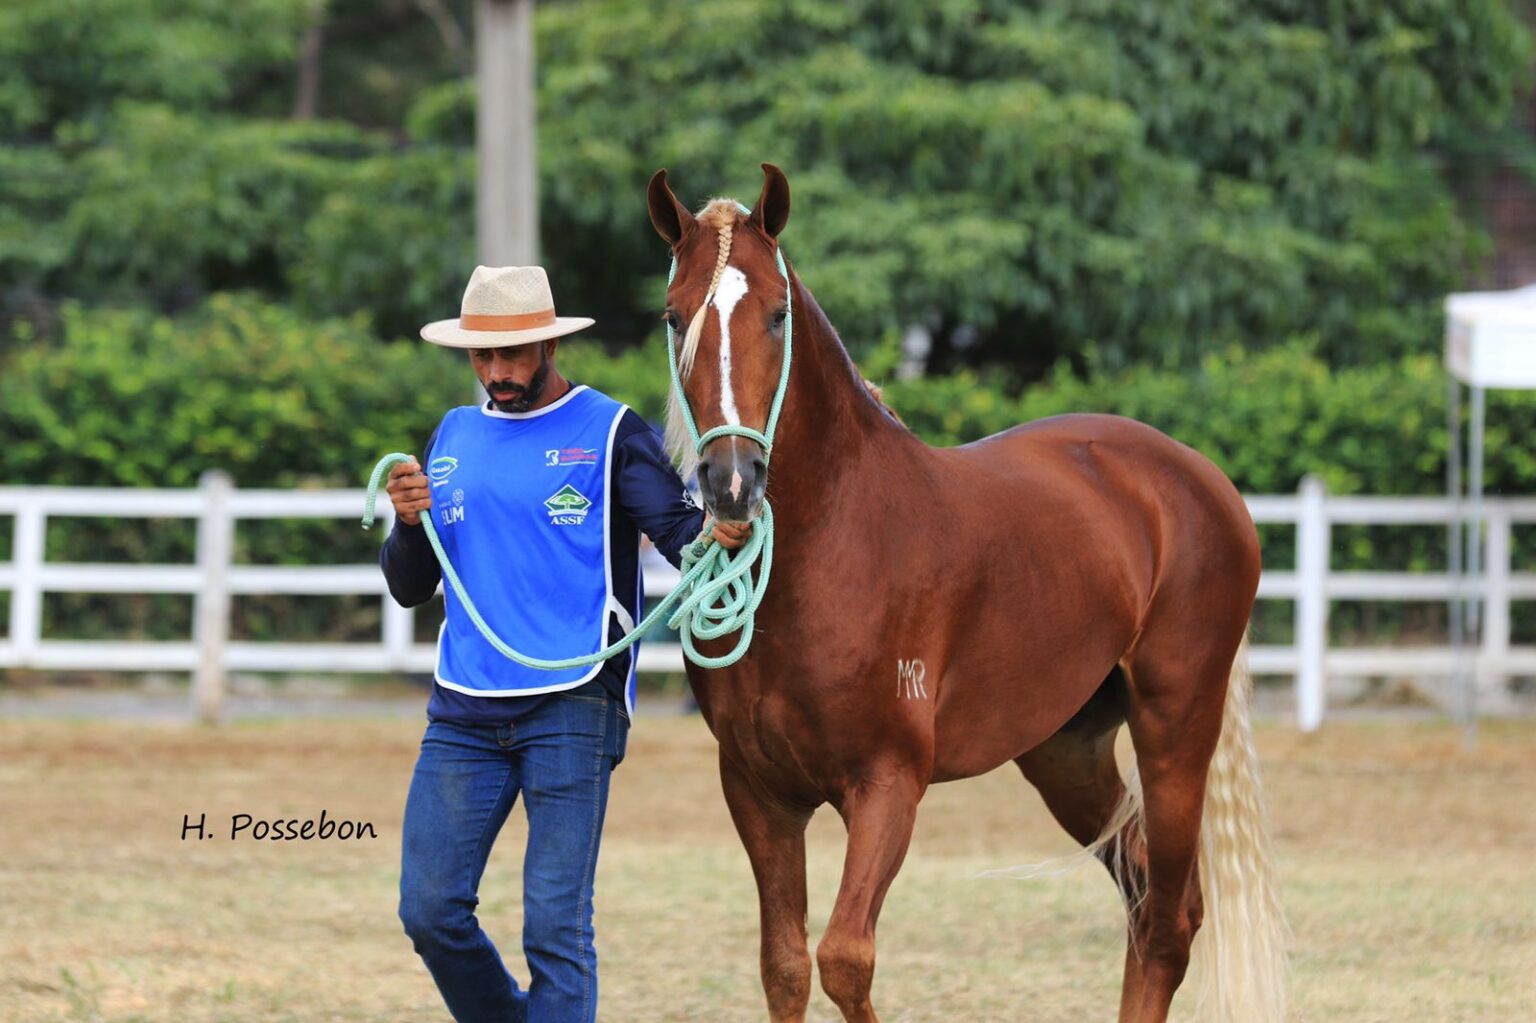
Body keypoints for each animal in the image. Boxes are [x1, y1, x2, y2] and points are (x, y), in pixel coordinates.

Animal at [648, 167, 1284, 1019]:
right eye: (674, 315)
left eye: (777, 314)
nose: (731, 484)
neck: (833, 547)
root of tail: (1201, 478)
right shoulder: (759, 793)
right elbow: (784, 966)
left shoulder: (888, 783)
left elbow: (844, 957)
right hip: (1066, 753)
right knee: (1144, 892)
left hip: (1175, 725)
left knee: (1170, 920)